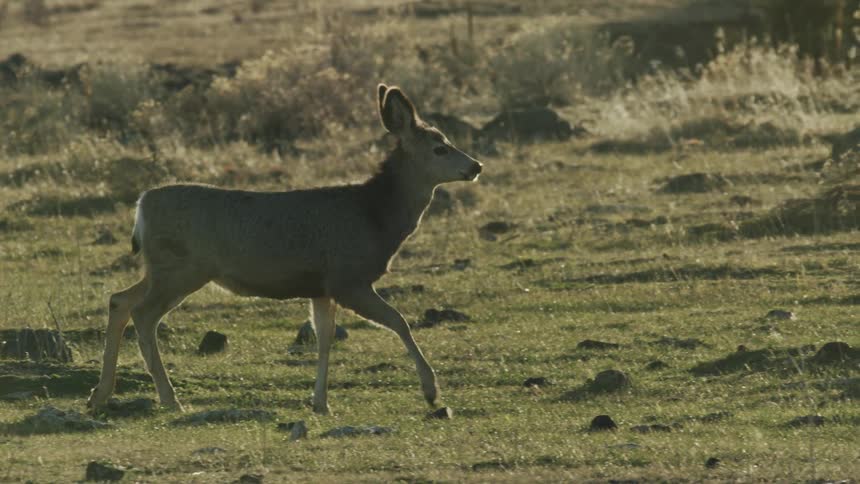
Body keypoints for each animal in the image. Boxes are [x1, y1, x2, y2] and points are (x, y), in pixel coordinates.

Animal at [87, 84, 483, 415]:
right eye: (440, 147)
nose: (476, 166)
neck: (376, 217)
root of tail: (142, 205)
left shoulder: (321, 287)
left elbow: (324, 338)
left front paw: (320, 403)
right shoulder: (348, 277)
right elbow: (399, 321)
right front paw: (432, 391)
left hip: (162, 268)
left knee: (120, 299)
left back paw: (99, 394)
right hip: (182, 268)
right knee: (144, 314)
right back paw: (169, 399)